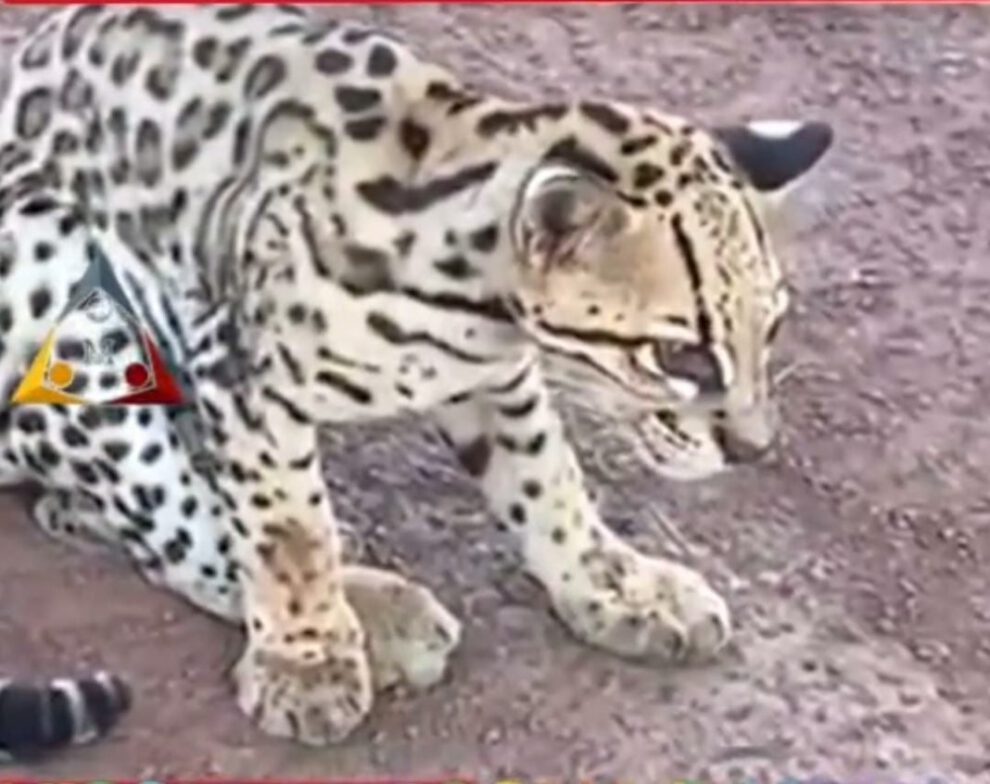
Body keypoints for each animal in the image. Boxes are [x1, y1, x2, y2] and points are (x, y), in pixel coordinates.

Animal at [0, 4, 833, 749]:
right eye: (681, 357)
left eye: (772, 330)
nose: (753, 448)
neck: (474, 299)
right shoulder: (239, 366)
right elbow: (286, 528)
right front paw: (307, 660)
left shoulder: (499, 380)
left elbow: (550, 484)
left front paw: (613, 586)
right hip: (60, 284)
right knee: (176, 528)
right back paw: (376, 614)